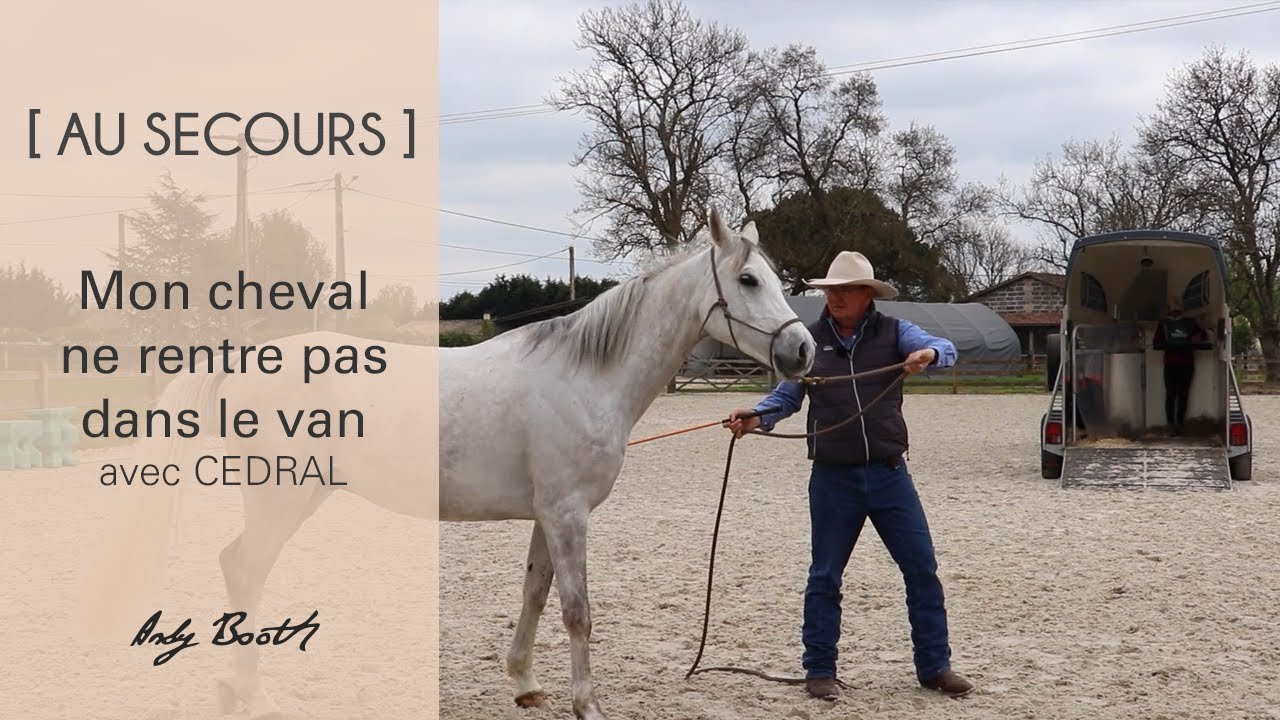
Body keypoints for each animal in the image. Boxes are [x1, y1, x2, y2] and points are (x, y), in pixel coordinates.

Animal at [75, 207, 815, 720]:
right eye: (748, 279)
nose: (804, 350)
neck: (586, 375)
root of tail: (243, 357)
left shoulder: (548, 515)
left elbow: (535, 593)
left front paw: (525, 683)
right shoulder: (569, 514)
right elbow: (578, 610)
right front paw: (588, 704)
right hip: (280, 498)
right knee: (243, 568)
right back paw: (246, 691)